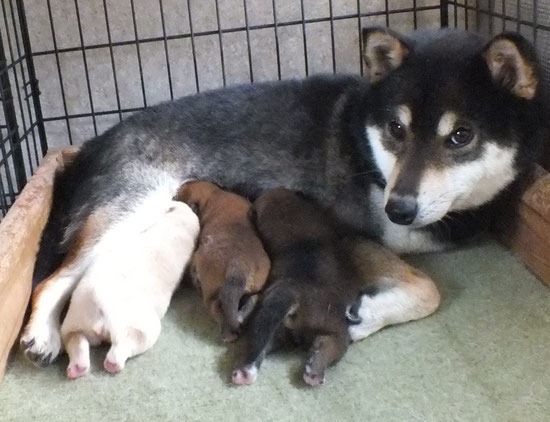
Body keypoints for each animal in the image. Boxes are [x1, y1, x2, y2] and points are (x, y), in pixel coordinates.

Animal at [61, 201, 199, 380]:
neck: (178, 220)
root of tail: (101, 302)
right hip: (142, 328)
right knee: (122, 347)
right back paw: (113, 364)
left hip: (74, 324)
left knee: (76, 341)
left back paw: (76, 368)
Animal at [175, 181, 272, 342]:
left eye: (179, 195)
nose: (174, 195)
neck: (213, 195)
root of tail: (237, 270)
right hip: (255, 287)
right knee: (251, 299)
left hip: (211, 296)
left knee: (217, 310)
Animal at [232, 188, 364, 386]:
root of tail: (297, 297)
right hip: (336, 329)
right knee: (329, 346)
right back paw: (313, 373)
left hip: (275, 326)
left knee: (259, 346)